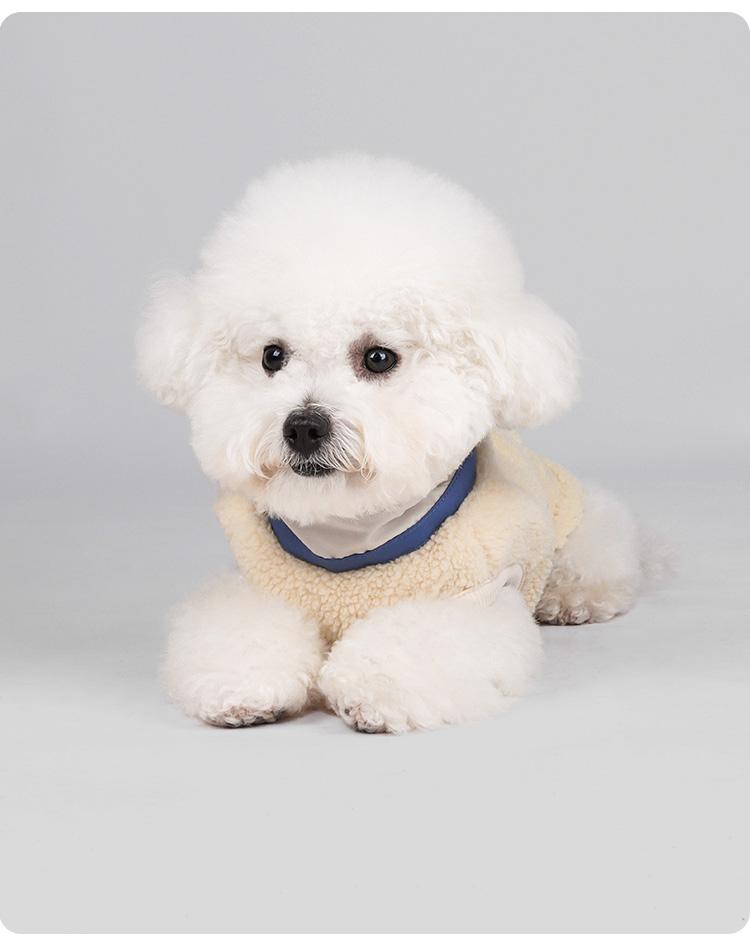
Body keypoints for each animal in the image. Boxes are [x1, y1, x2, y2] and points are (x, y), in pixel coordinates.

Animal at [137, 153, 651, 733]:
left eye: (378, 357)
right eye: (272, 356)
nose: (303, 426)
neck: (350, 534)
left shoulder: (470, 599)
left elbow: (411, 641)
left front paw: (374, 690)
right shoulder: (257, 584)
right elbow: (239, 629)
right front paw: (243, 686)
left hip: (584, 527)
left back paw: (571, 598)